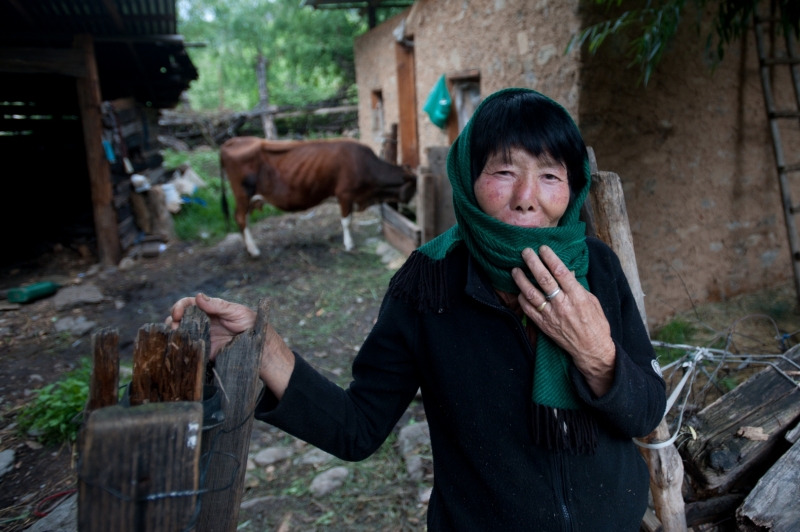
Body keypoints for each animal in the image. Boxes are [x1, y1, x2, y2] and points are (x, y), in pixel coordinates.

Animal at [220, 137, 416, 258]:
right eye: (415, 188)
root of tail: (234, 140)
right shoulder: (345, 194)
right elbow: (347, 221)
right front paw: (349, 244)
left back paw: (248, 247)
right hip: (242, 194)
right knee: (240, 218)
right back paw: (254, 250)